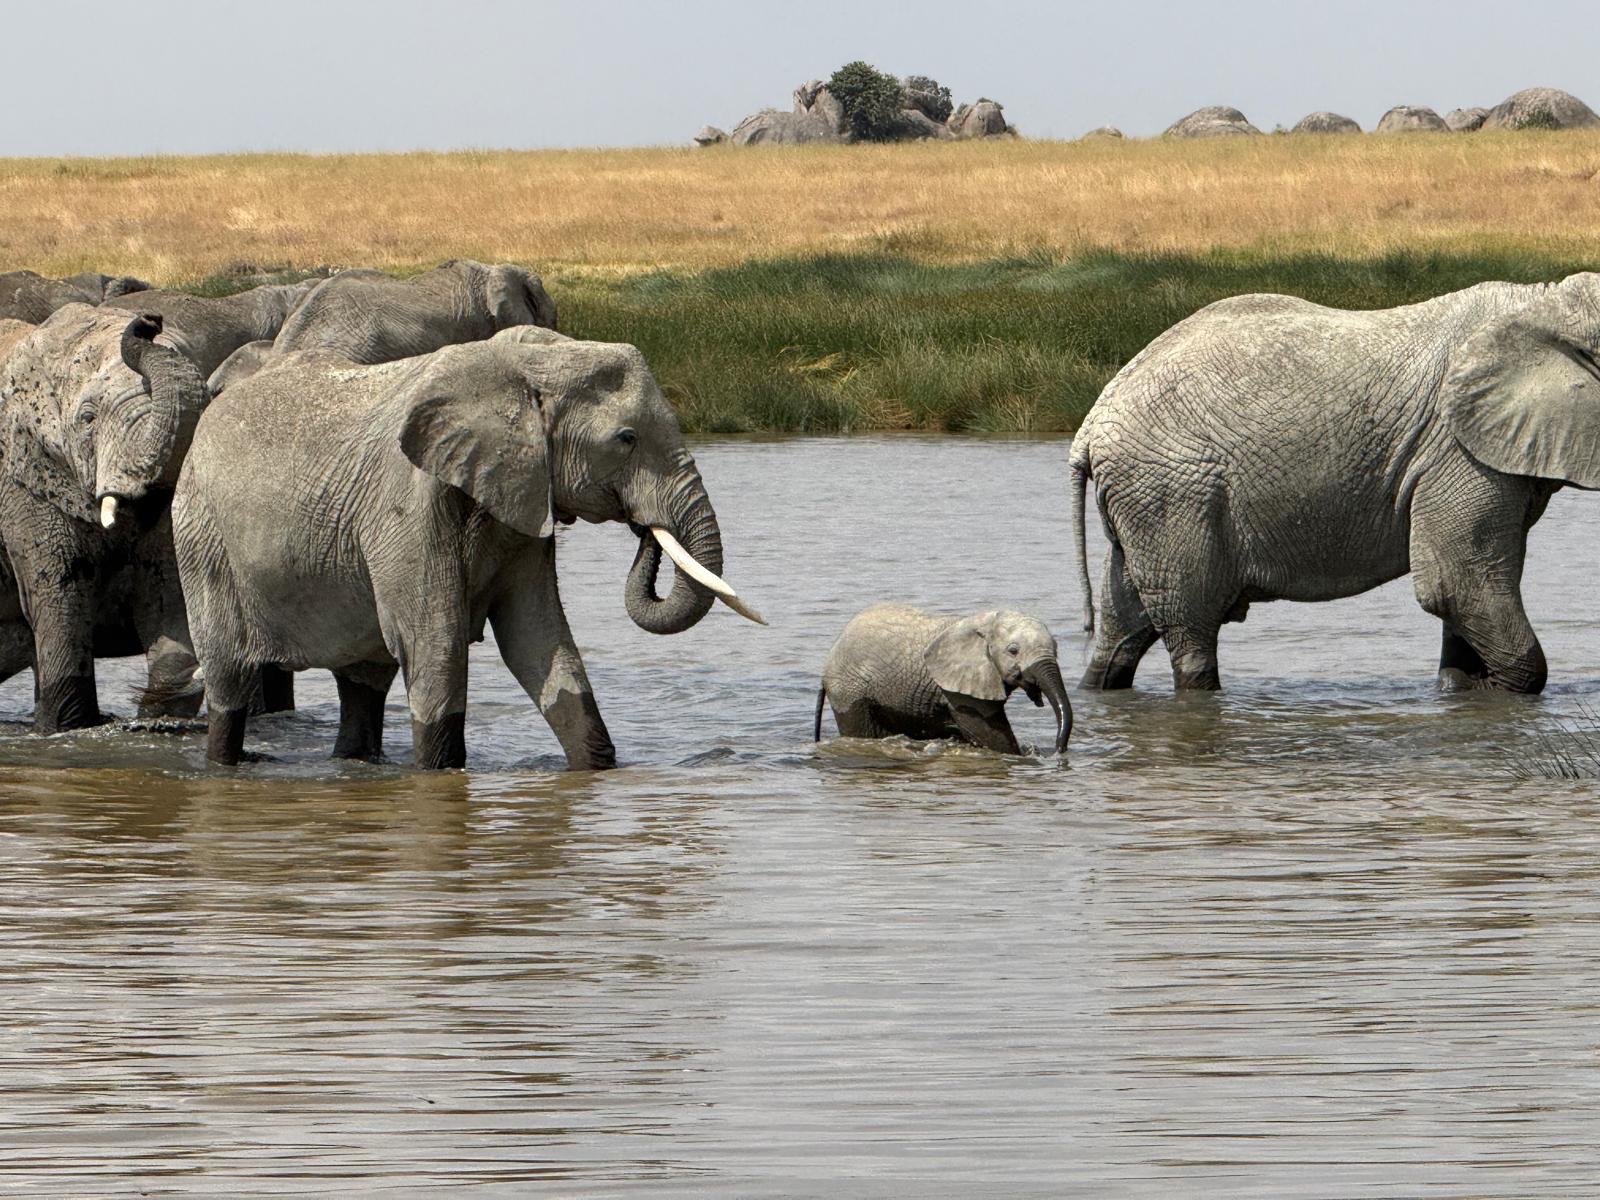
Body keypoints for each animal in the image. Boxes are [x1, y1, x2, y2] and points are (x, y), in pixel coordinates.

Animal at [0, 308, 208, 730]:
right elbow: (61, 595)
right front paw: (65, 728)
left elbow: (167, 592)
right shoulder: (24, 485)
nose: (149, 321)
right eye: (88, 419)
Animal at [172, 325, 763, 769]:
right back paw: (226, 762)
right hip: (200, 533)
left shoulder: (523, 496)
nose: (645, 530)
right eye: (626, 439)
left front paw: (596, 769)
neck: (518, 368)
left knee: (362, 686)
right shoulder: (408, 505)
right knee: (229, 678)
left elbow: (538, 639)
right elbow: (437, 642)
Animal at [814, 604, 1072, 756]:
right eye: (1013, 651)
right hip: (849, 690)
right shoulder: (959, 690)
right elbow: (991, 735)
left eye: (1056, 649)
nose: (1058, 752)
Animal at [1069, 271, 1600, 694]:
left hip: (1143, 501)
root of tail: (1091, 424)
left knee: (1123, 626)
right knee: (1191, 633)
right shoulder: (1456, 450)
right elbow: (1455, 584)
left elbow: (1465, 593)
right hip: (1171, 494)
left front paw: (1464, 693)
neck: (1548, 302)